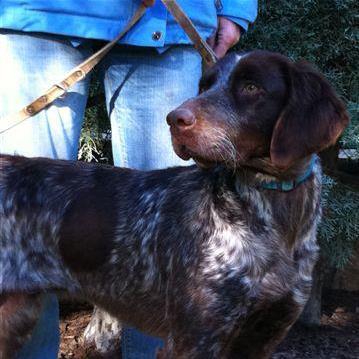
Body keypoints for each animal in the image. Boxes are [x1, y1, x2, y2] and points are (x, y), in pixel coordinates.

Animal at [0, 50, 348, 358]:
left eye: (251, 87)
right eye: (205, 85)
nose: (174, 118)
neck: (274, 219)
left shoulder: (262, 337)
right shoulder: (193, 339)